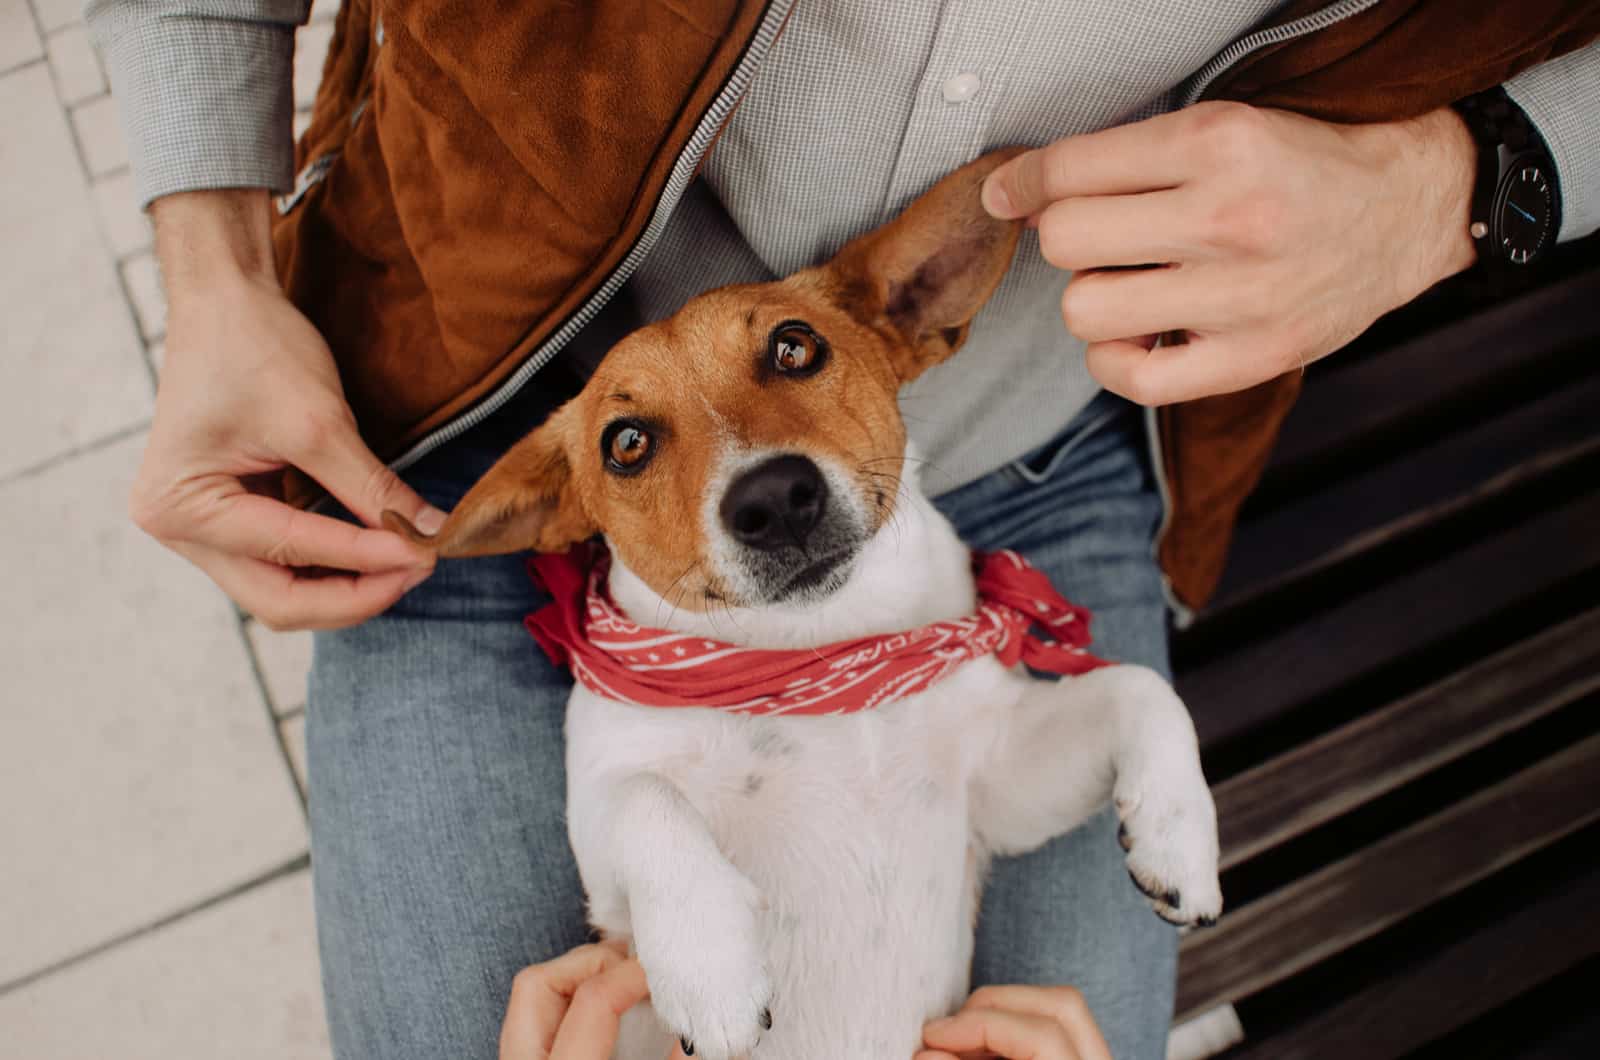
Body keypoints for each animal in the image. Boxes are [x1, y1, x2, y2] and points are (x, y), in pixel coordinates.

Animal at [384, 151, 1209, 1060]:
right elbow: (646, 800)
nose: (774, 499)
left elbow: (1141, 686)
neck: (822, 655)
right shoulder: (601, 857)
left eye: (794, 346)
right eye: (625, 443)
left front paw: (1180, 836)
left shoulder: (999, 784)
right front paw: (710, 968)